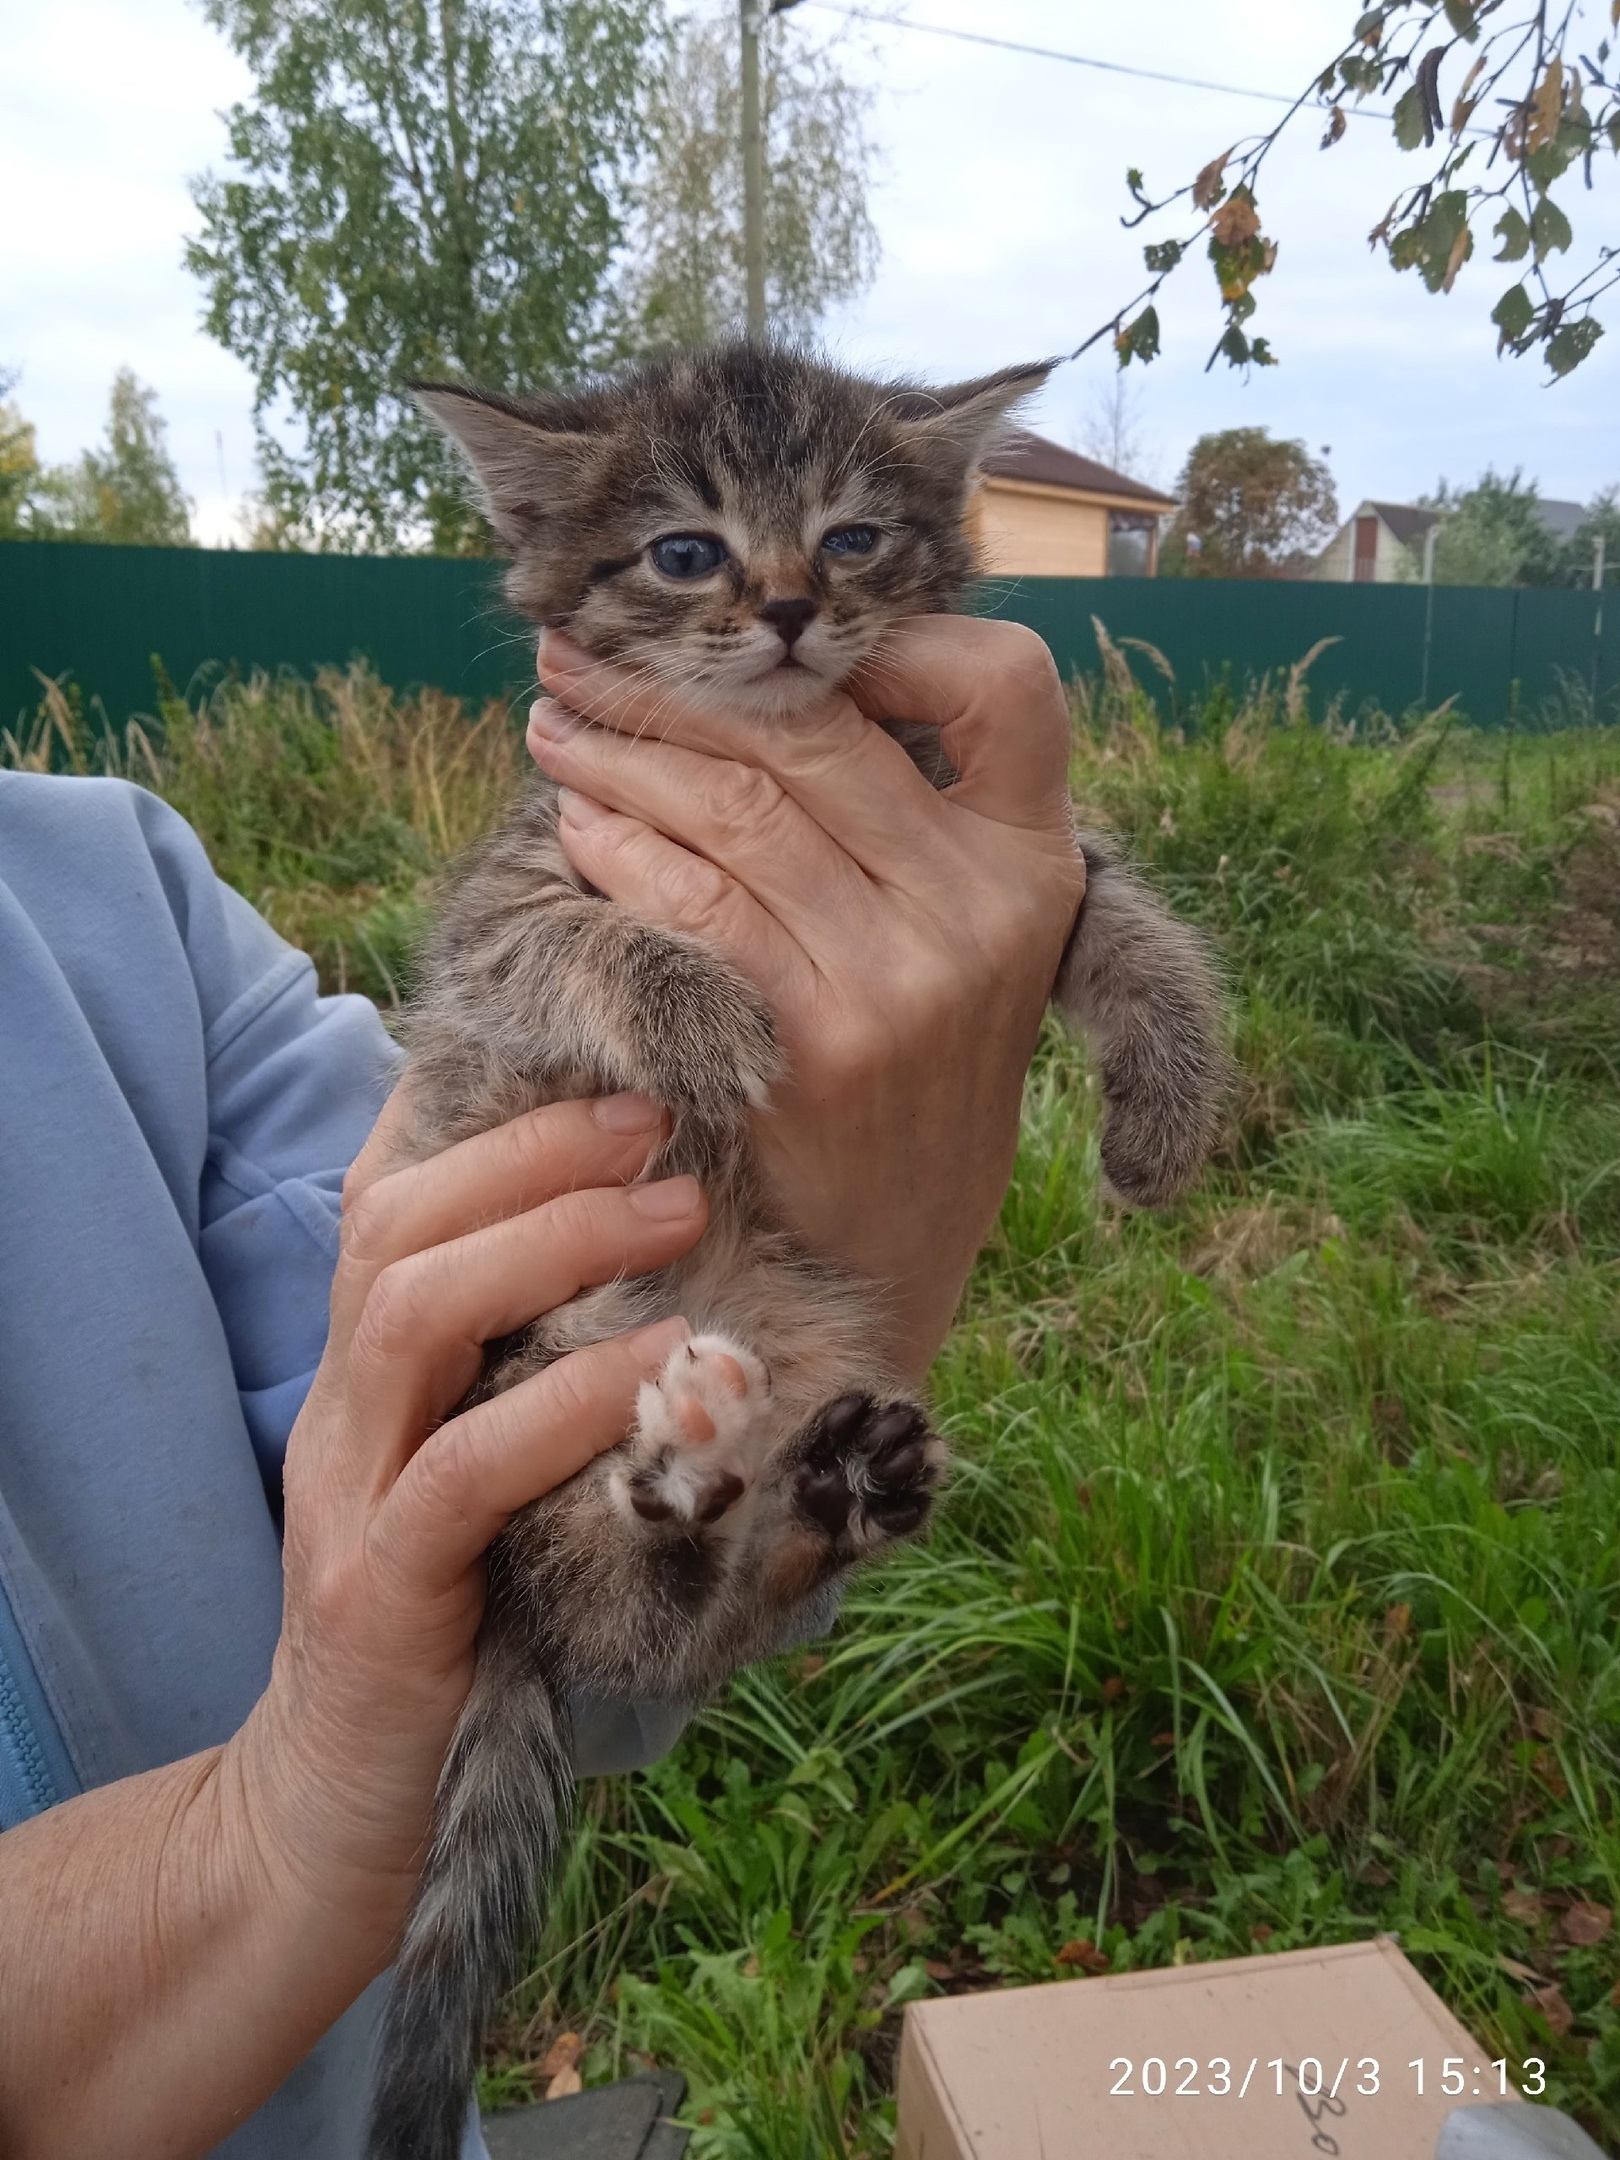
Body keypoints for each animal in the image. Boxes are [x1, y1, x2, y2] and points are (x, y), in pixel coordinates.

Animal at [367, 345, 1226, 2151]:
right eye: (686, 551)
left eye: (849, 538)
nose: (779, 607)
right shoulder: (502, 909)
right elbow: (563, 938)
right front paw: (695, 1007)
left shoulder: (994, 825)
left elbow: (1109, 899)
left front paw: (1170, 1090)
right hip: (533, 1376)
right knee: (606, 1608)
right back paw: (684, 1488)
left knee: (726, 1617)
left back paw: (827, 1491)